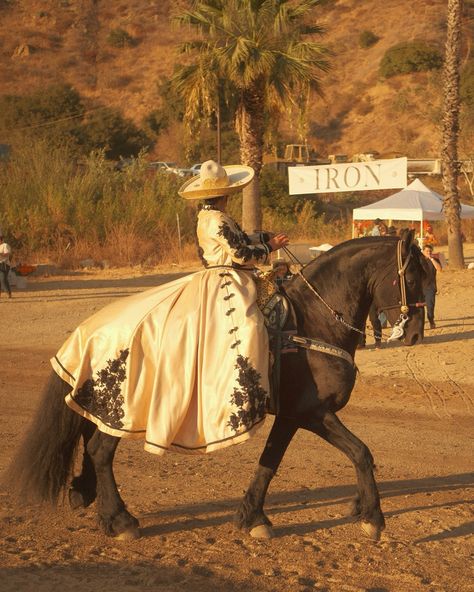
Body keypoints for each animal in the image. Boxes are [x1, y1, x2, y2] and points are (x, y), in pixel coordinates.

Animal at [5, 230, 428, 540]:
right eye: (412, 277)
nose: (413, 334)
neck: (312, 321)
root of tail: (90, 328)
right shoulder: (308, 412)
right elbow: (352, 453)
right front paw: (371, 517)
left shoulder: (297, 416)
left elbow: (286, 460)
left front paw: (257, 516)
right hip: (121, 406)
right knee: (98, 450)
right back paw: (120, 520)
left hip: (105, 402)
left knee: (87, 434)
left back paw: (86, 494)